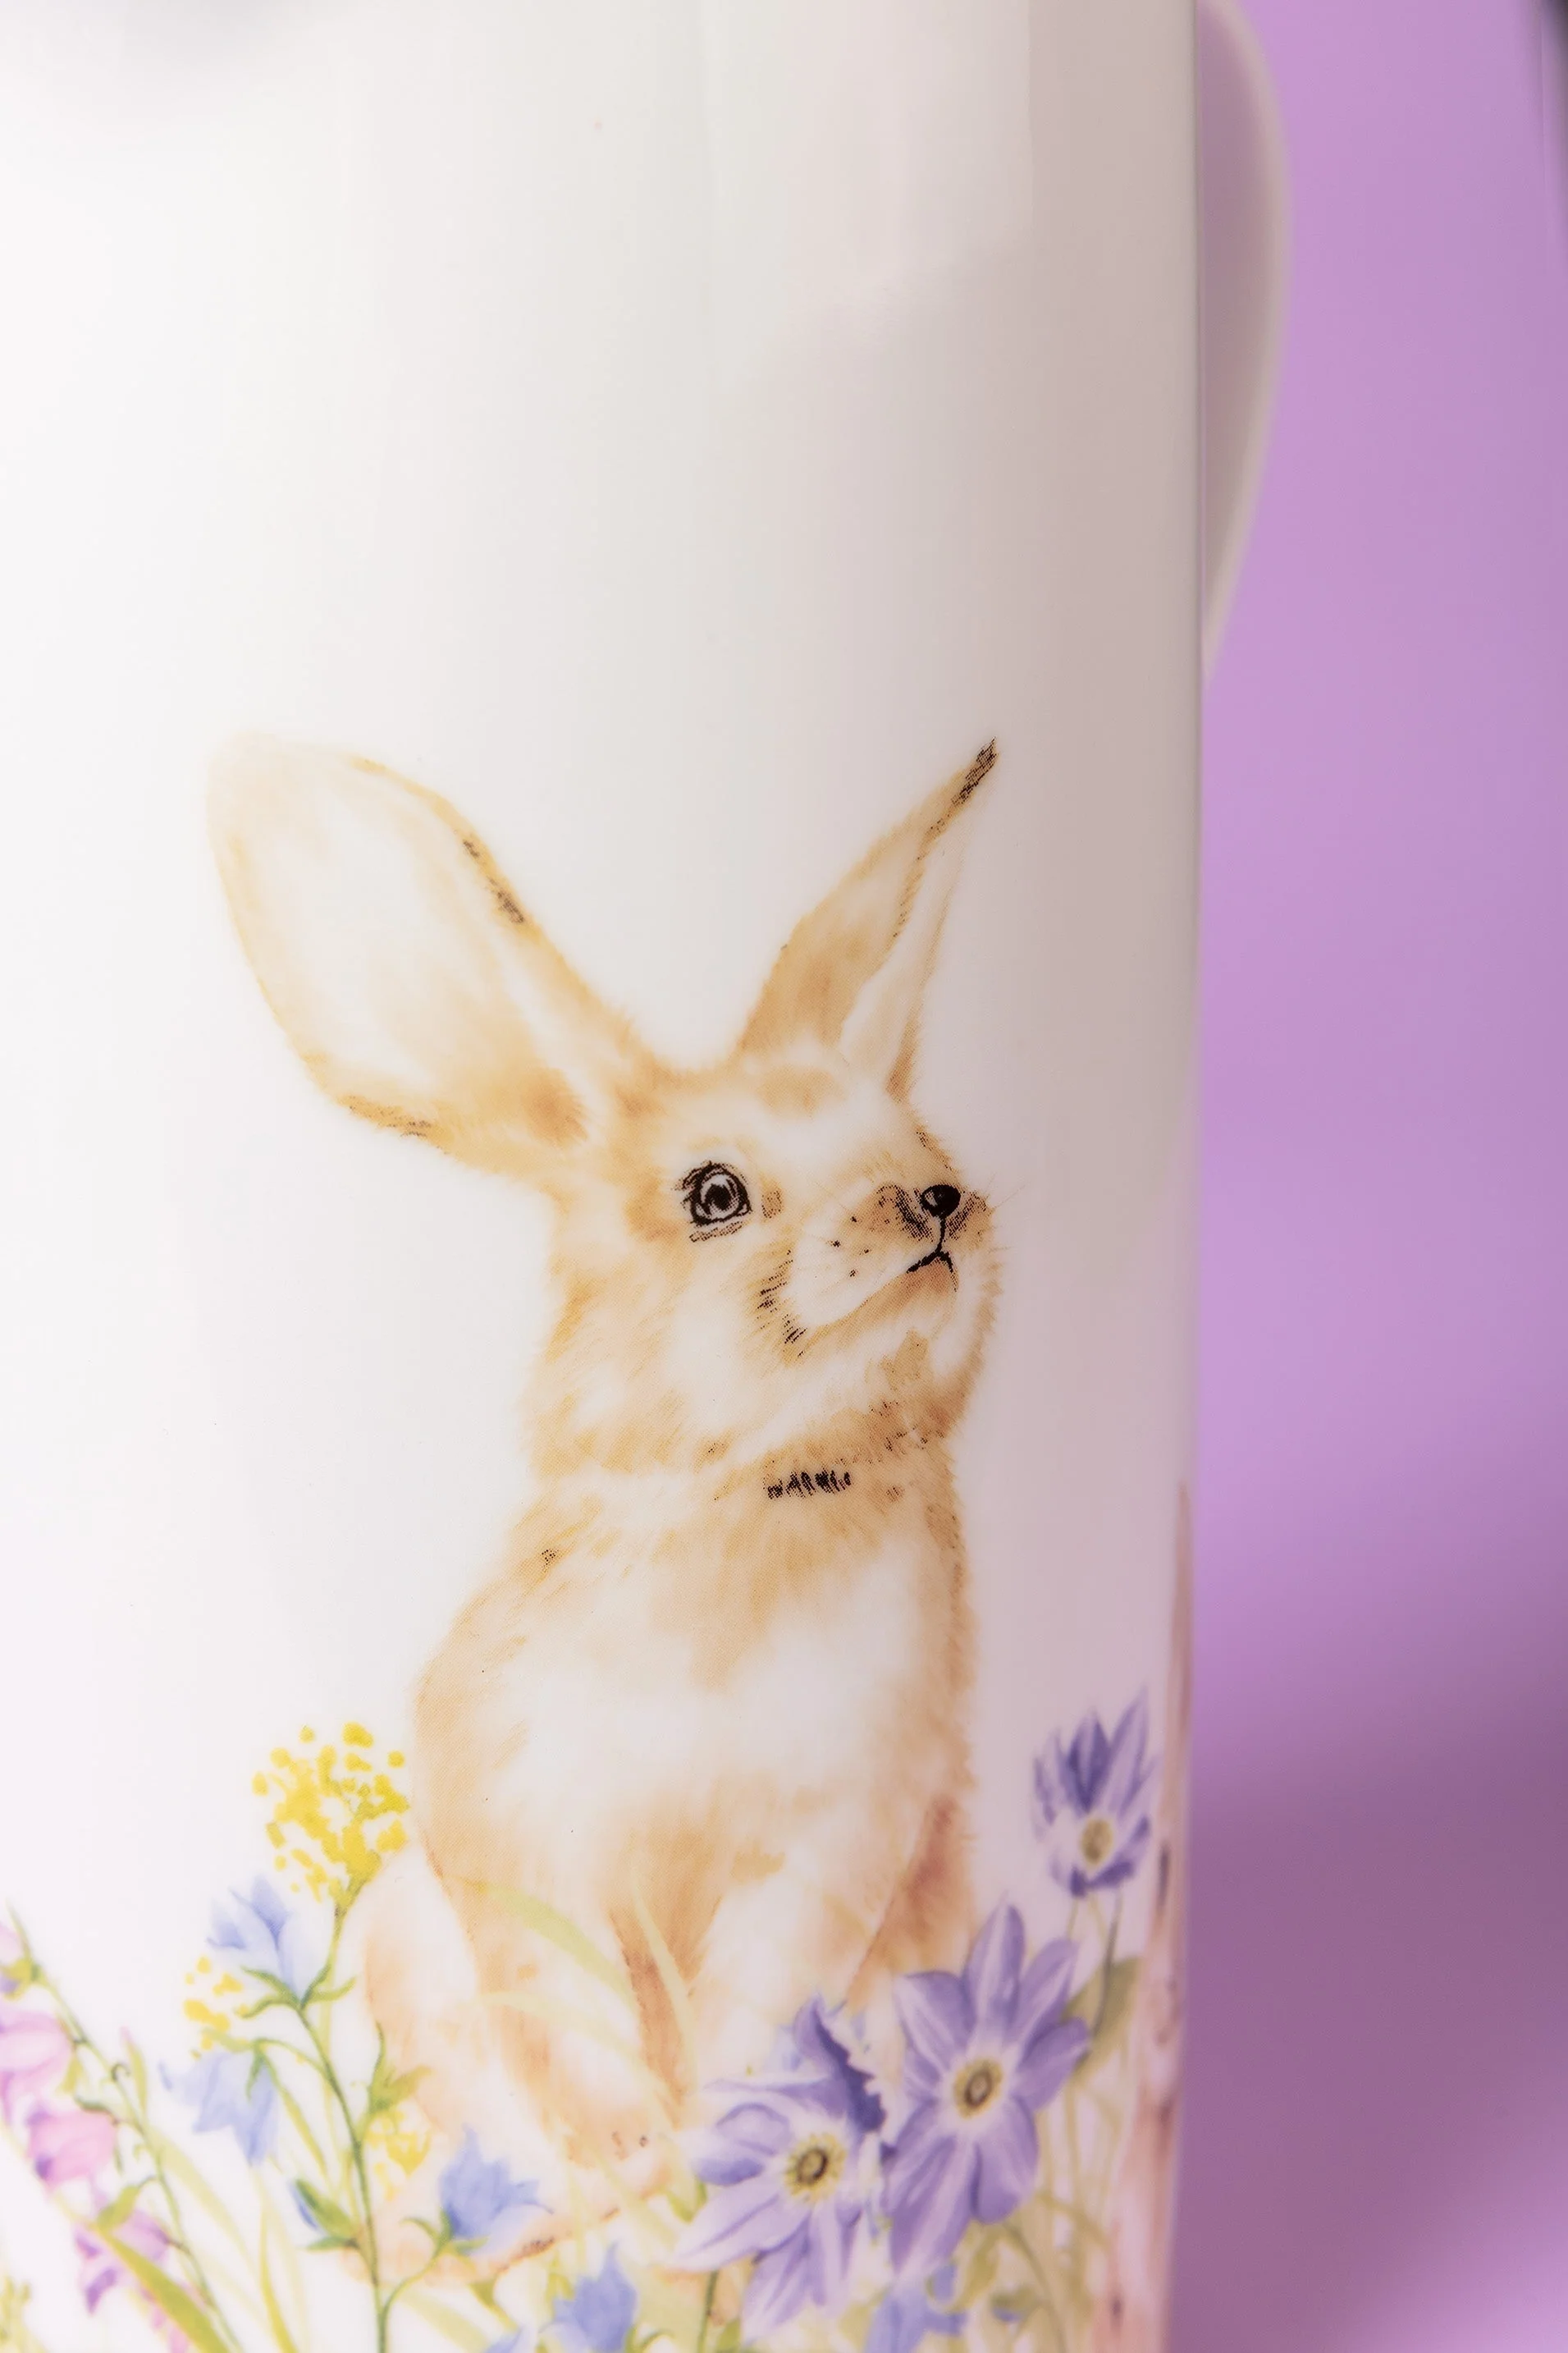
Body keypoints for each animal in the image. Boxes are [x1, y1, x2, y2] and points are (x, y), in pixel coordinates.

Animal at [210, 734, 1000, 2210]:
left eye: (920, 1141)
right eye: (712, 1194)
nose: (935, 1203)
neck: (761, 1492)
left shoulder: (841, 1836)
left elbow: (762, 1998)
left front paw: (732, 2132)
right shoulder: (522, 1829)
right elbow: (565, 2005)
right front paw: (643, 2149)